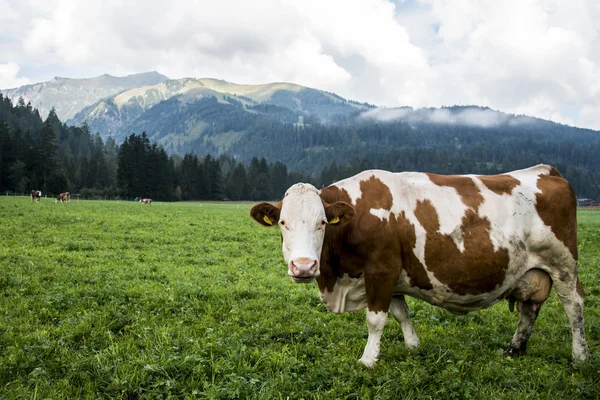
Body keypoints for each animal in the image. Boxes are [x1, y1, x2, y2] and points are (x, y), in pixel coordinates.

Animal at [250, 165, 592, 366]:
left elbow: (375, 320)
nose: (304, 267)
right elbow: (401, 313)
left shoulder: (381, 270)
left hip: (563, 263)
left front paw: (368, 360)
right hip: (532, 271)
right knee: (529, 308)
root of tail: (545, 170)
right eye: (283, 222)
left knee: (573, 306)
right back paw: (514, 349)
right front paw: (414, 346)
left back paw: (580, 356)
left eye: (321, 223)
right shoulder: (392, 276)